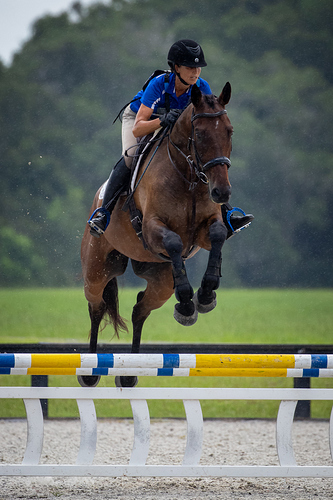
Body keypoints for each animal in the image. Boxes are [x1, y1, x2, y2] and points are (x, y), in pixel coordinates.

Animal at [79, 82, 232, 386]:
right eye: (200, 134)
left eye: (229, 131)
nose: (221, 192)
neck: (188, 177)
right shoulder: (152, 228)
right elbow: (173, 241)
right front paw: (188, 299)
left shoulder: (205, 231)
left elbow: (219, 233)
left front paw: (204, 295)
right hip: (97, 269)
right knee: (97, 305)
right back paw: (91, 372)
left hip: (161, 281)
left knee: (139, 309)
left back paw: (129, 374)